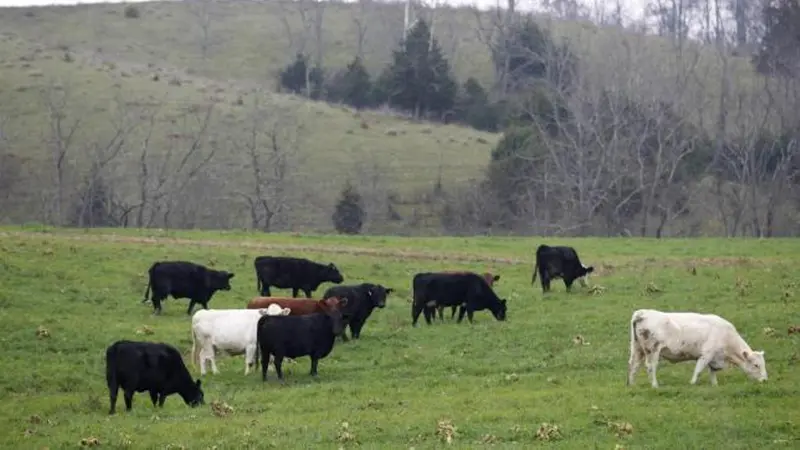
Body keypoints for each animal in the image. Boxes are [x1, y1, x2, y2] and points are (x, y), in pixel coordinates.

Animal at [624, 308, 768, 388]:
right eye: (756, 365)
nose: (765, 380)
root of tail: (643, 313)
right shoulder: (706, 354)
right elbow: (698, 370)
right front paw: (692, 383)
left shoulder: (714, 358)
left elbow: (712, 372)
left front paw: (715, 385)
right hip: (652, 350)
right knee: (650, 367)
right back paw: (655, 385)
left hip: (637, 349)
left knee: (633, 365)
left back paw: (631, 385)